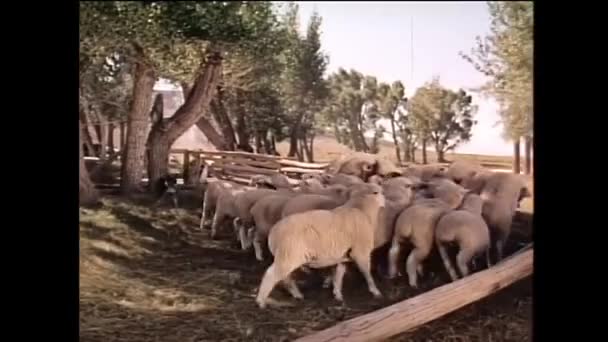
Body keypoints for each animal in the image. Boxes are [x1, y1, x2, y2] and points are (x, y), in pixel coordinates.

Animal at [256, 183, 384, 308]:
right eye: (380, 192)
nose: (384, 203)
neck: (362, 209)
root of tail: (273, 233)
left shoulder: (342, 257)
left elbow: (339, 275)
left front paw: (337, 294)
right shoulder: (361, 252)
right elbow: (366, 273)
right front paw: (375, 291)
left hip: (286, 256)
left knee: (286, 277)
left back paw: (297, 294)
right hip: (288, 255)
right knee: (271, 275)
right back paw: (260, 301)